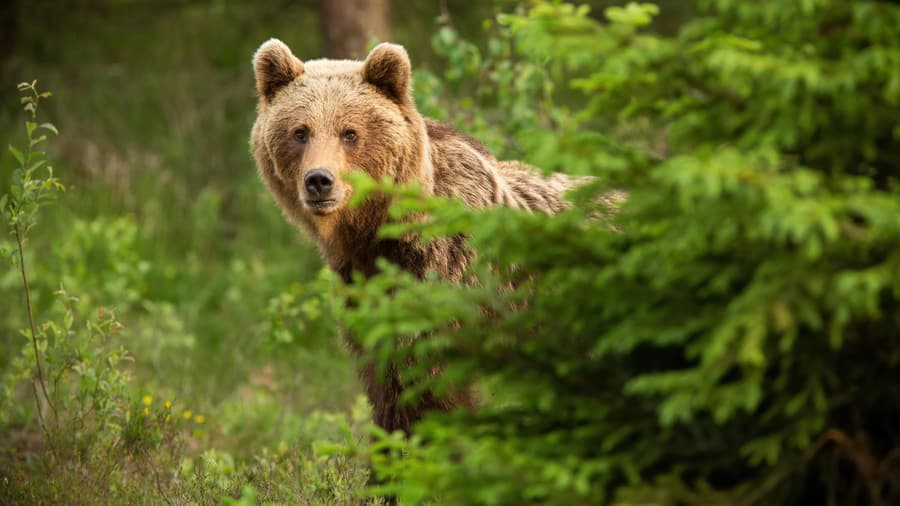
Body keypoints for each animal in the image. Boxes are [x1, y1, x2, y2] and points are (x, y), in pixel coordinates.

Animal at [250, 39, 584, 434]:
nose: (319, 181)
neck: (378, 232)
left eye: (350, 133)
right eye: (300, 132)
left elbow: (426, 386)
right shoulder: (362, 289)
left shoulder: (445, 278)